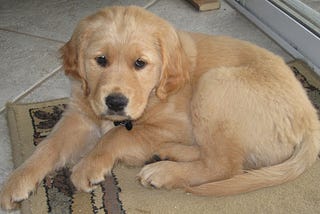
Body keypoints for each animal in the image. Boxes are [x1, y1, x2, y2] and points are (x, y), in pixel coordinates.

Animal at [0, 5, 320, 210]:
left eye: (140, 63)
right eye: (100, 60)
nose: (115, 102)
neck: (153, 92)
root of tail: (311, 118)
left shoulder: (177, 123)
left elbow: (118, 134)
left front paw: (88, 166)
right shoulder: (80, 113)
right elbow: (48, 146)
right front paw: (15, 182)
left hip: (214, 84)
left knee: (226, 165)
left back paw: (164, 171)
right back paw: (168, 153)